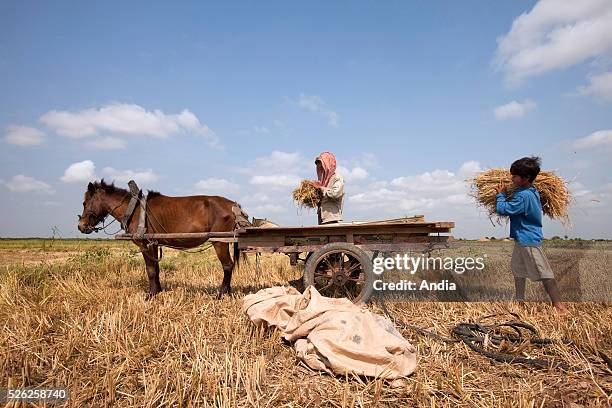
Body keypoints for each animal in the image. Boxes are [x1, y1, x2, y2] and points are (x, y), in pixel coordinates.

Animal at [78, 180, 244, 298]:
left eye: (85, 203)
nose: (81, 226)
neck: (135, 210)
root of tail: (233, 206)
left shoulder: (145, 244)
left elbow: (150, 269)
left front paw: (151, 295)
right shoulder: (154, 243)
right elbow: (156, 268)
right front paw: (158, 291)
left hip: (219, 241)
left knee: (227, 265)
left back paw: (222, 293)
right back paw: (228, 291)